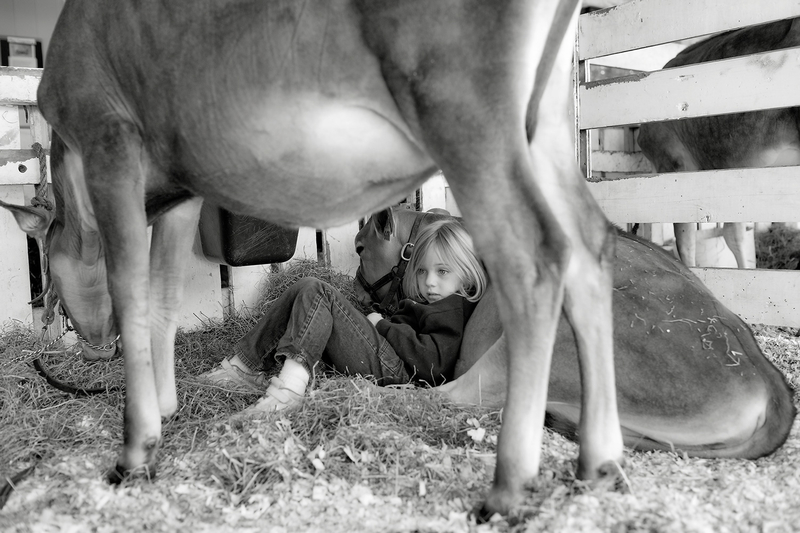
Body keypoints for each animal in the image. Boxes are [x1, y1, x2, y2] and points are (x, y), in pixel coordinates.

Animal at [0, 0, 624, 516]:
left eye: (48, 266)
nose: (91, 345)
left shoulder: (111, 142)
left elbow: (131, 295)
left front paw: (135, 450)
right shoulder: (183, 189)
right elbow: (164, 296)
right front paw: (168, 405)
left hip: (466, 115)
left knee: (535, 258)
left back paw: (508, 487)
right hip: (543, 124)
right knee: (590, 247)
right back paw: (598, 465)